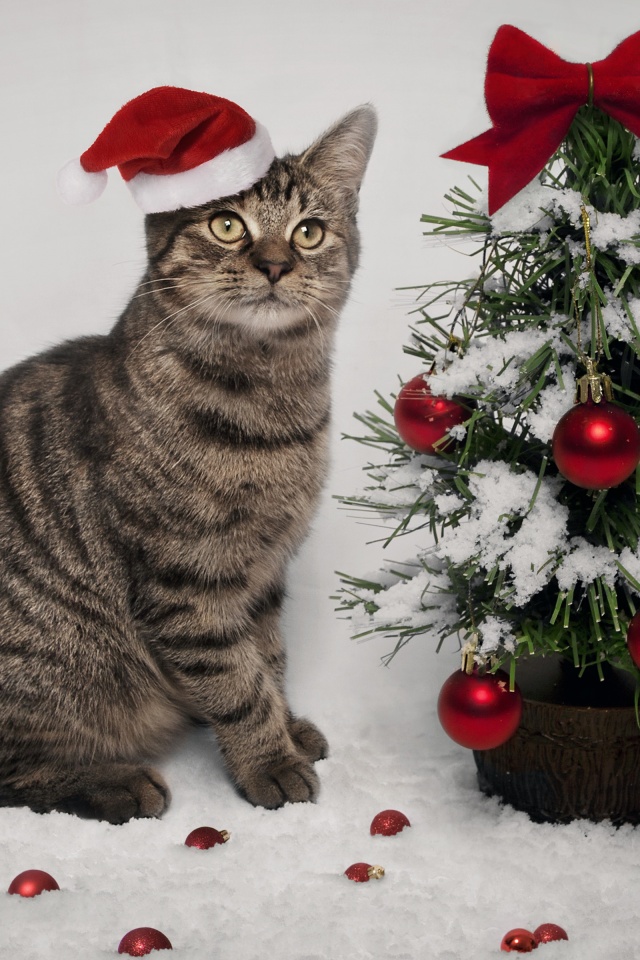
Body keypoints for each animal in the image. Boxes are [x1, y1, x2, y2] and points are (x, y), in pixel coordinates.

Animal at [0, 105, 378, 824]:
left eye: (309, 232)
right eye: (227, 225)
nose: (275, 264)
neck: (272, 413)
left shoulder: (262, 574)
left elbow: (269, 660)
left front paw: (288, 728)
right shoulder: (185, 581)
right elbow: (235, 681)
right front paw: (269, 760)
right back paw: (114, 781)